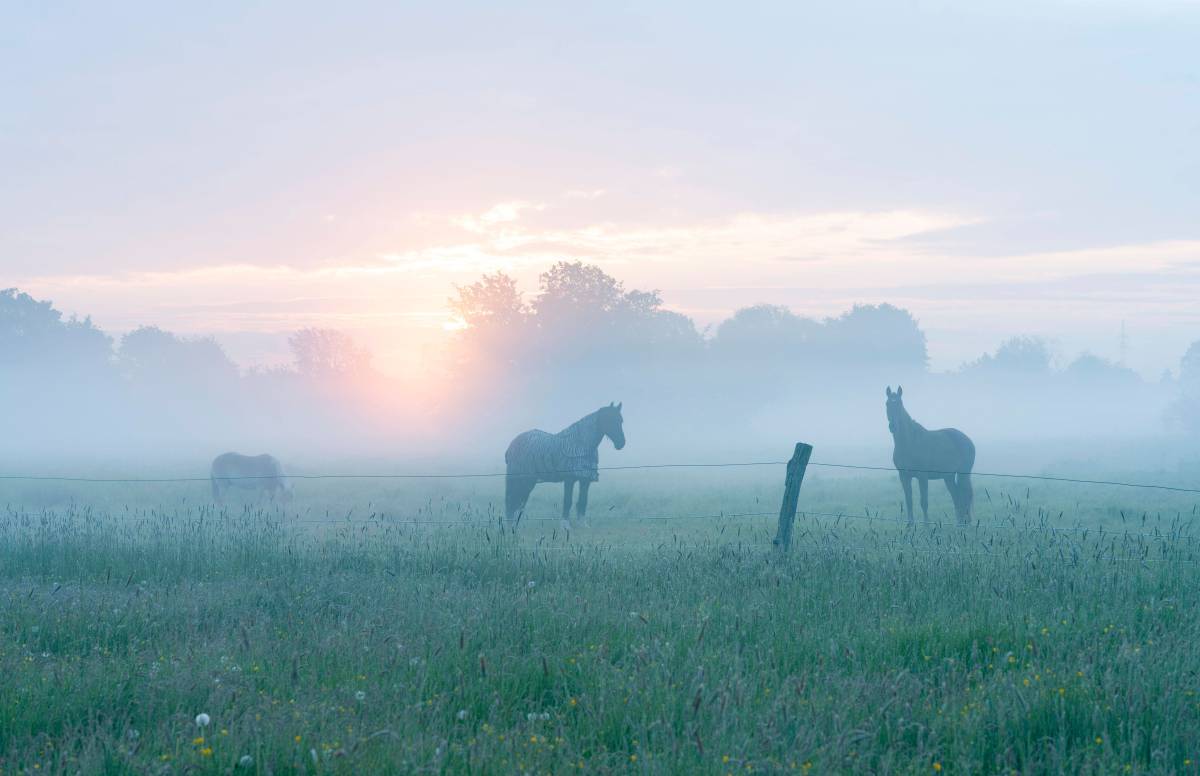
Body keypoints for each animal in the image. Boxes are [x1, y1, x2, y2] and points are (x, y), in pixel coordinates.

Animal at [501, 402, 628, 530]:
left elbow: (583, 501)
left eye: (620, 421)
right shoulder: (569, 479)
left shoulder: (585, 480)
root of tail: (512, 445)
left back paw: (516, 525)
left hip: (528, 480)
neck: (580, 445)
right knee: (511, 499)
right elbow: (568, 501)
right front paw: (565, 526)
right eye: (608, 420)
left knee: (520, 500)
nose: (621, 443)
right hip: (519, 478)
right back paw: (510, 525)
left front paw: (583, 524)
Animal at [883, 388, 974, 527]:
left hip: (964, 473)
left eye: (900, 404)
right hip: (948, 476)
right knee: (957, 496)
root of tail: (967, 440)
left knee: (965, 495)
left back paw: (966, 523)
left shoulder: (922, 476)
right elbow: (909, 500)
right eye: (887, 404)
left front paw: (926, 525)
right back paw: (959, 523)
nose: (893, 426)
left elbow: (924, 502)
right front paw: (910, 525)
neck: (909, 442)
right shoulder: (904, 476)